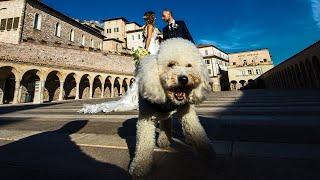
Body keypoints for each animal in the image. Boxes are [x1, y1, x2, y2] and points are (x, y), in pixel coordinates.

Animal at [129, 38, 216, 177]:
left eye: (189, 65)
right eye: (171, 64)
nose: (184, 78)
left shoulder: (187, 113)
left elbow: (197, 130)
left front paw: (207, 152)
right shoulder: (145, 118)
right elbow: (144, 143)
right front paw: (139, 166)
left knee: (166, 120)